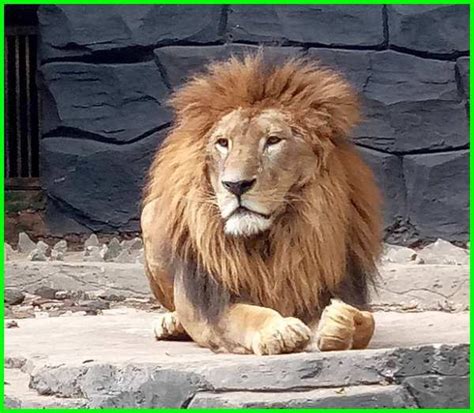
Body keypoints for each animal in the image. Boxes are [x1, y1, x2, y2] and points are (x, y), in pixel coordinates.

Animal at [141, 51, 382, 354]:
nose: (236, 185)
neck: (269, 241)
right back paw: (170, 323)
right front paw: (279, 330)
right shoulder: (214, 305)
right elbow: (248, 315)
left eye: (273, 141)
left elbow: (368, 321)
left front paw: (341, 321)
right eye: (223, 143)